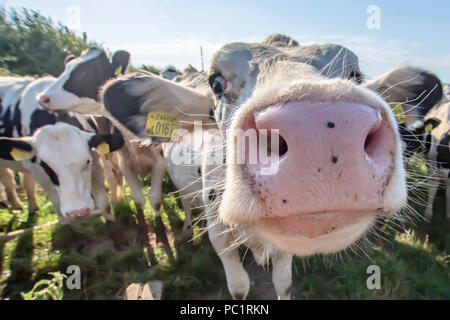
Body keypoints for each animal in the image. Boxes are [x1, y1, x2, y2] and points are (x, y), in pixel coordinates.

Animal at [100, 35, 442, 300]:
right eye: (216, 82)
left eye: (355, 75)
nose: (321, 131)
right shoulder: (219, 235)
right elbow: (238, 286)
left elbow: (284, 282)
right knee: (184, 199)